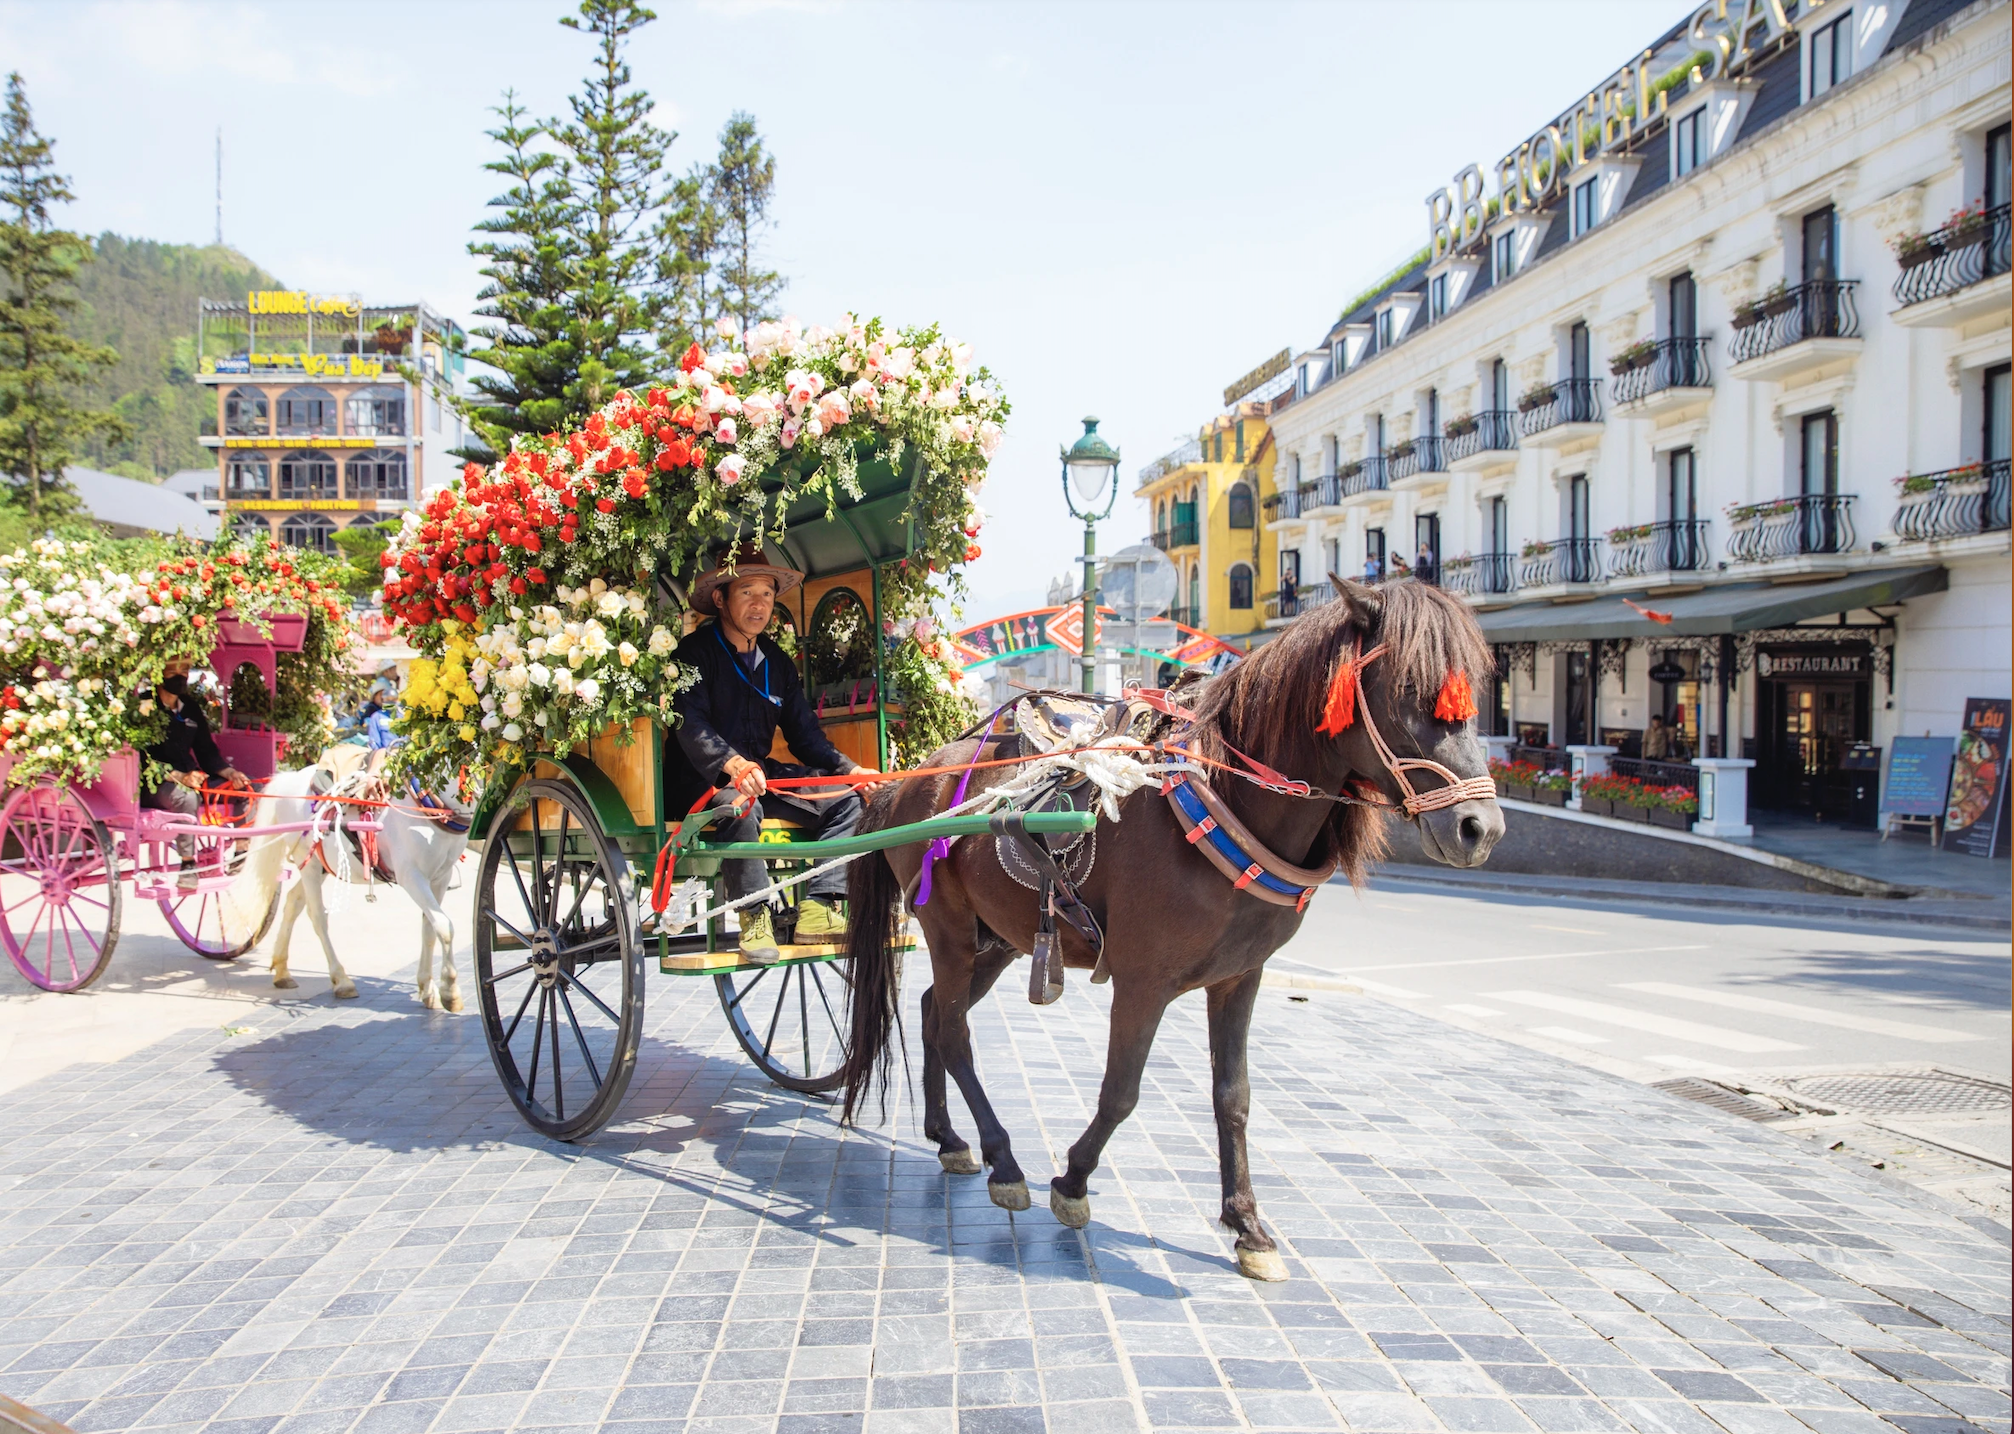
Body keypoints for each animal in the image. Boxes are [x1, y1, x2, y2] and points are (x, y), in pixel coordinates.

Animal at [230, 761, 473, 1007]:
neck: (426, 805)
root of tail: (288, 779)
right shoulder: (412, 876)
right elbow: (444, 927)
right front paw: (449, 990)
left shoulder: (440, 876)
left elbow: (429, 928)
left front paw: (428, 988)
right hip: (307, 862)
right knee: (317, 916)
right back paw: (341, 980)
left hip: (321, 865)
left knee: (293, 902)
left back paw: (282, 971)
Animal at [829, 576, 1498, 1280]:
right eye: (1411, 688)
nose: (1480, 828)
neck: (1221, 803)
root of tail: (907, 785)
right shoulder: (1142, 982)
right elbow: (1121, 1092)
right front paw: (1072, 1182)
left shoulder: (1240, 978)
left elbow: (1234, 1097)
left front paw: (1248, 1226)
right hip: (950, 929)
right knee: (954, 1033)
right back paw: (1003, 1160)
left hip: (999, 942)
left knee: (935, 1012)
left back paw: (949, 1137)